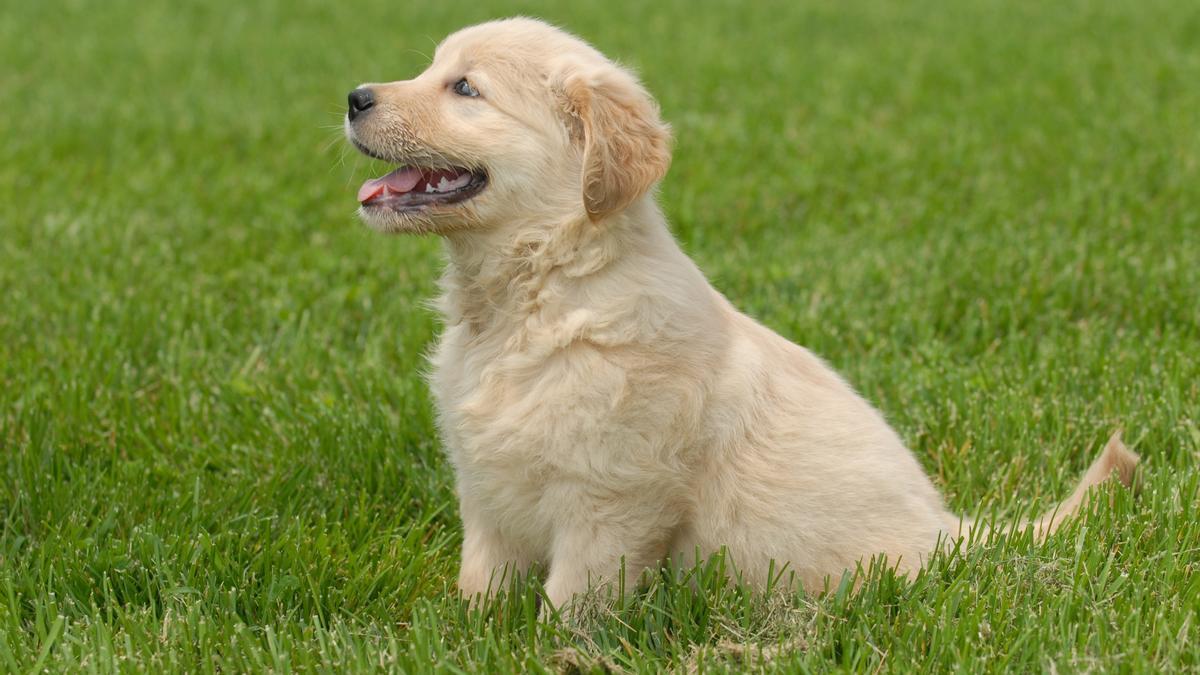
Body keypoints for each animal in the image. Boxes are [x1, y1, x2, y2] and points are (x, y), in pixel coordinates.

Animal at [343, 17, 1137, 610]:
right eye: (434, 69)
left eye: (465, 88)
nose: (353, 96)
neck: (536, 292)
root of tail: (952, 532)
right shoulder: (486, 487)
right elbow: (479, 583)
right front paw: (469, 628)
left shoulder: (612, 498)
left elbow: (569, 602)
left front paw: (548, 650)